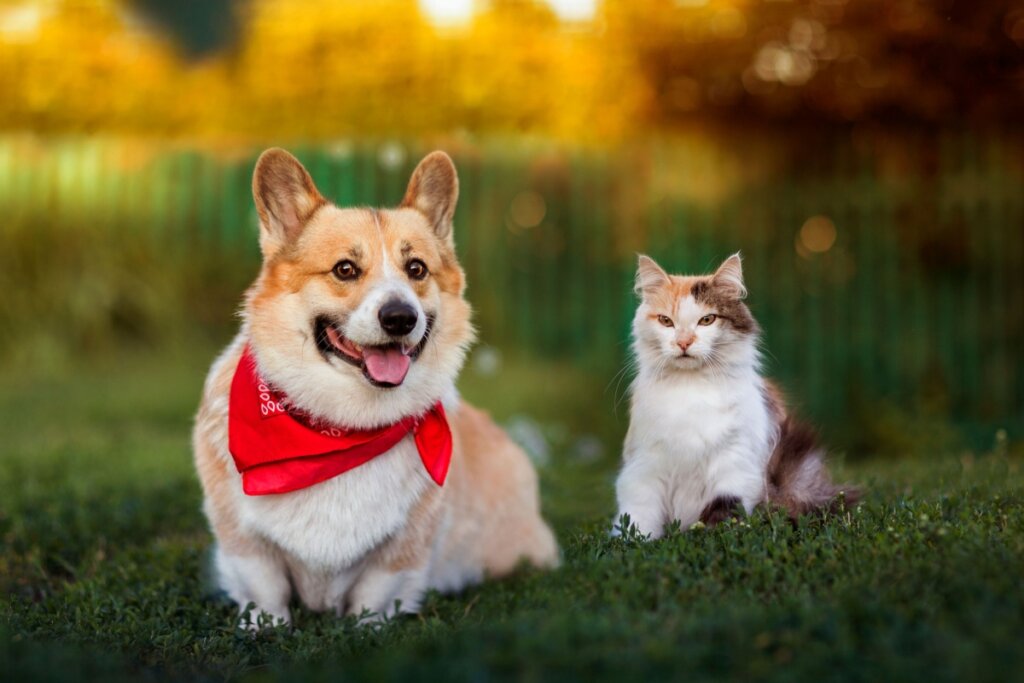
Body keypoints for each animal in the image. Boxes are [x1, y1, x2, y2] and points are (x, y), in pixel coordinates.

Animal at [192, 149, 561, 626]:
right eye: (345, 269)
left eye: (416, 268)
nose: (400, 317)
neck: (343, 428)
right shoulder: (245, 544)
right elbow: (265, 592)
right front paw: (263, 629)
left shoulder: (402, 551)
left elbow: (374, 596)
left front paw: (365, 630)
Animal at [614, 252, 856, 540]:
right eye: (665, 321)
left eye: (707, 320)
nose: (684, 342)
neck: (691, 388)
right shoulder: (645, 464)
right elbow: (639, 517)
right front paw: (634, 542)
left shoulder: (735, 463)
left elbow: (724, 512)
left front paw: (713, 538)